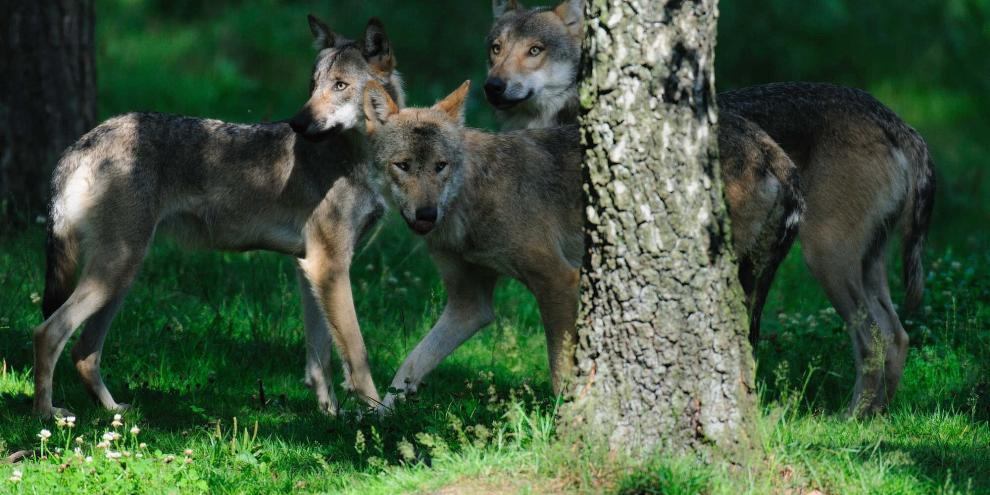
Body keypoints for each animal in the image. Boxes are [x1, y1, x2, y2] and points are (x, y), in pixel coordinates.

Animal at [33, 16, 403, 419]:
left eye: (340, 86)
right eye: (313, 85)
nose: (297, 123)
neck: (358, 160)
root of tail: (80, 143)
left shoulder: (312, 269)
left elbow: (321, 360)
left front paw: (330, 416)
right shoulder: (329, 266)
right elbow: (358, 354)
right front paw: (380, 415)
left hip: (121, 277)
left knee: (84, 352)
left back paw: (113, 410)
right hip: (116, 270)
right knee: (48, 332)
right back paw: (47, 415)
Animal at [361, 81, 583, 410]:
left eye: (441, 166)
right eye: (402, 165)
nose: (427, 214)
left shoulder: (558, 280)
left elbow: (560, 371)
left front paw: (566, 419)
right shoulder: (469, 306)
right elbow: (412, 362)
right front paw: (381, 414)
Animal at [487, 0, 936, 415]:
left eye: (535, 50)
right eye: (496, 48)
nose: (493, 85)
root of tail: (895, 121)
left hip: (821, 259)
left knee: (872, 339)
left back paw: (851, 418)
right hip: (859, 264)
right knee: (897, 335)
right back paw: (874, 419)